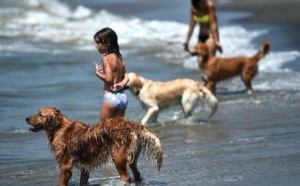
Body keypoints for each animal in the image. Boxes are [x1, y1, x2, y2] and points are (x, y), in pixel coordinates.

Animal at [24, 107, 163, 186]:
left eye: (40, 114)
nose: (26, 118)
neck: (59, 128)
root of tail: (133, 124)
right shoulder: (84, 167)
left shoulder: (66, 166)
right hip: (132, 158)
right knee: (137, 174)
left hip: (117, 157)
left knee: (126, 178)